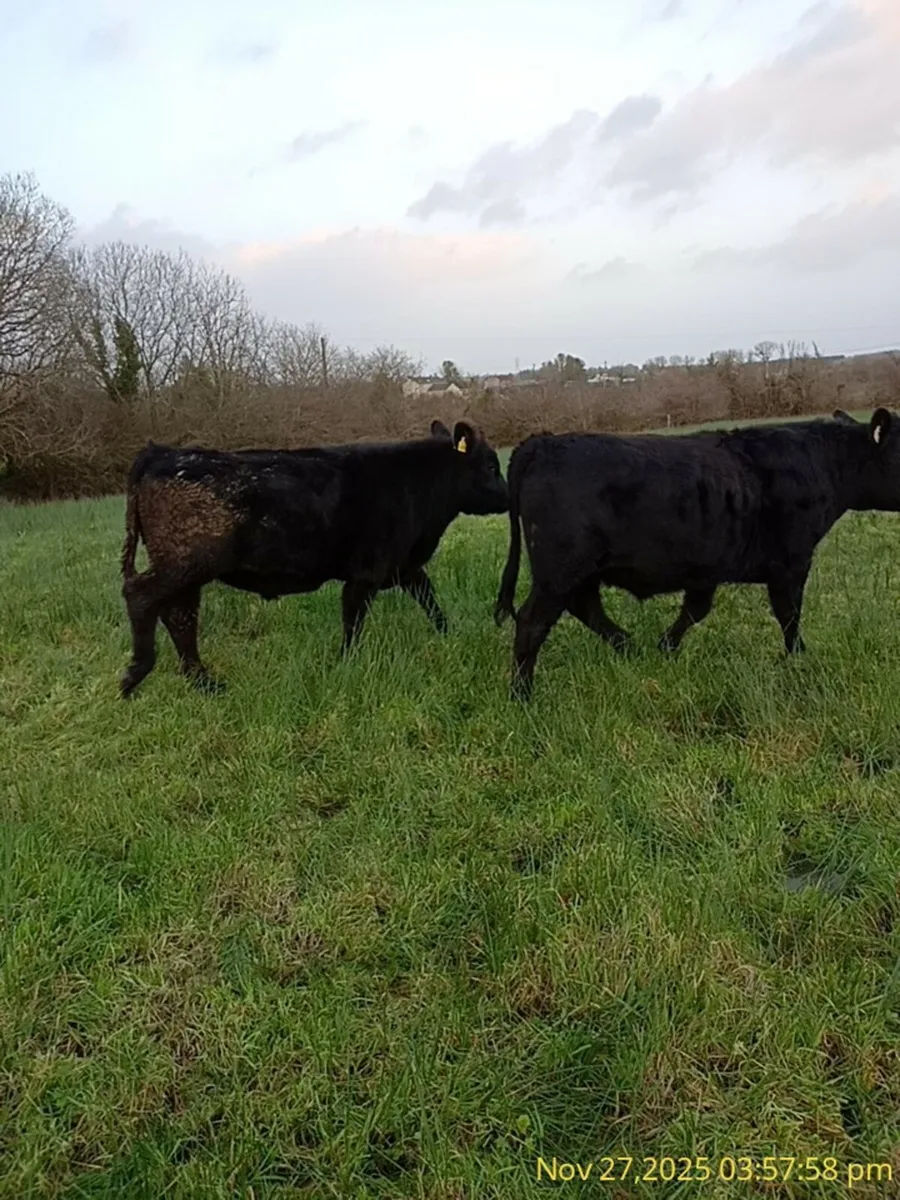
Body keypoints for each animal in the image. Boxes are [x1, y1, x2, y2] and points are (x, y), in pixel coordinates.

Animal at [119, 420, 507, 698]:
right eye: (491, 465)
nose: (507, 496)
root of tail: (161, 453)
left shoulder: (405, 566)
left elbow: (430, 601)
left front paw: (450, 637)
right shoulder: (365, 573)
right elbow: (353, 623)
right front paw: (345, 665)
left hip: (188, 572)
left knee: (180, 616)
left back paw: (204, 683)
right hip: (184, 564)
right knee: (141, 596)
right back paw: (135, 676)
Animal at [494, 408, 900, 700]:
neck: (824, 464)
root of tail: (540, 444)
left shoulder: (707, 569)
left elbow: (695, 610)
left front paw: (665, 647)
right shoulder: (791, 562)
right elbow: (789, 616)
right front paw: (799, 657)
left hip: (580, 571)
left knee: (586, 608)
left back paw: (630, 648)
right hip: (559, 570)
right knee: (533, 621)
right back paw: (522, 694)